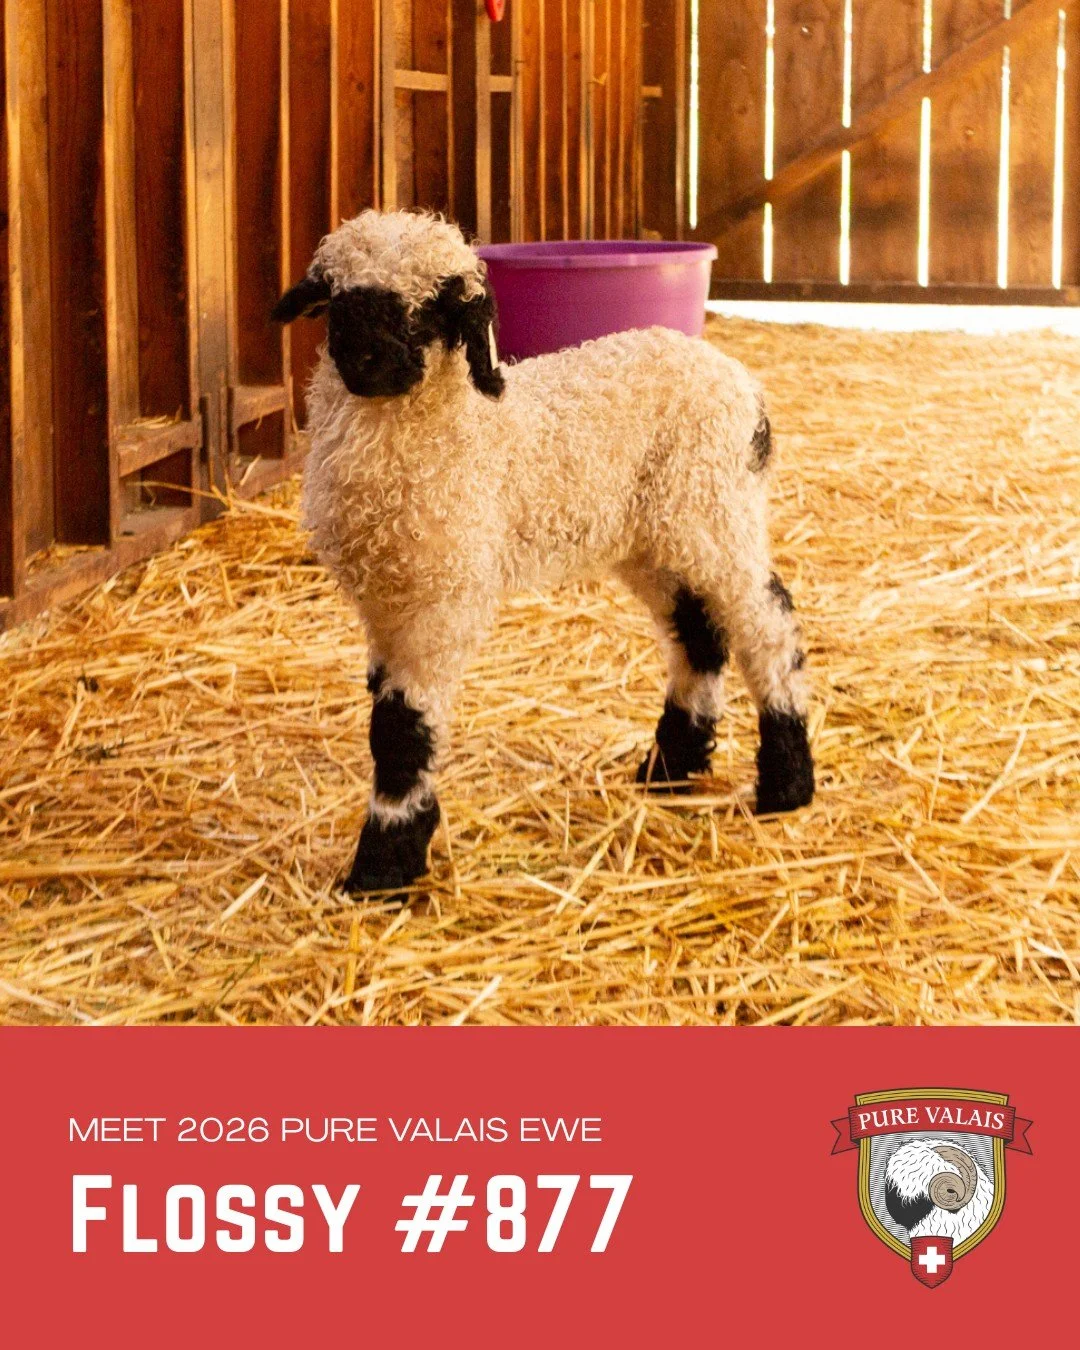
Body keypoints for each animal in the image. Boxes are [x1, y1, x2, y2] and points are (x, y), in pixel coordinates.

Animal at [273, 209, 815, 896]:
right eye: (339, 301)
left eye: (433, 311)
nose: (369, 361)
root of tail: (743, 384)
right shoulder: (384, 604)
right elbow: (386, 716)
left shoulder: (441, 602)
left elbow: (400, 730)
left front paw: (383, 864)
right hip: (656, 538)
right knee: (698, 633)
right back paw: (669, 769)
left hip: (715, 511)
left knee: (768, 626)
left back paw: (787, 783)